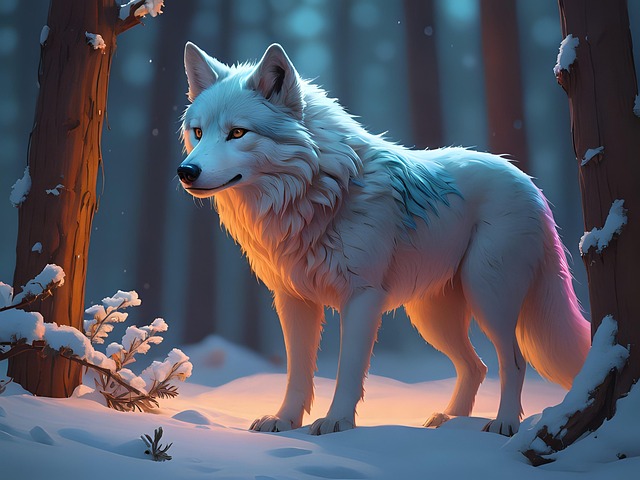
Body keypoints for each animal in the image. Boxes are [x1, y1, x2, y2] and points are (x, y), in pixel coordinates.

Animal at [177, 42, 591, 436]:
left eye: (237, 132)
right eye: (198, 132)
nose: (186, 171)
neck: (319, 194)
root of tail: (530, 184)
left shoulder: (362, 297)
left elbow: (347, 370)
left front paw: (336, 423)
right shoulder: (293, 300)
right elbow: (297, 373)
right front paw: (284, 421)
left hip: (488, 296)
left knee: (513, 361)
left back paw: (503, 425)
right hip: (432, 317)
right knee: (477, 366)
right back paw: (449, 422)